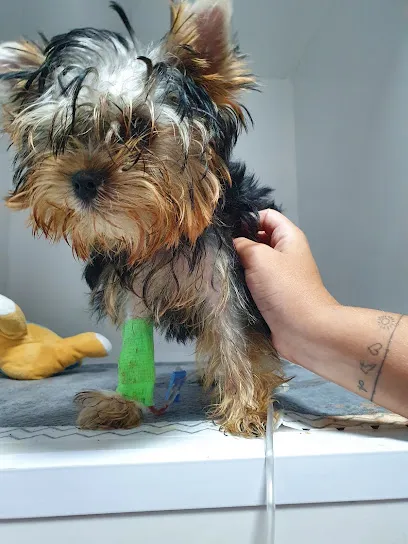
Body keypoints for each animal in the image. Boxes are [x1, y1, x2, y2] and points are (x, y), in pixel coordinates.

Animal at [0, 0, 284, 434]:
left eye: (138, 126)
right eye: (61, 136)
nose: (82, 179)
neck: (160, 237)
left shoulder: (225, 278)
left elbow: (233, 335)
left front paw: (248, 409)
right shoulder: (132, 292)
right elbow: (135, 350)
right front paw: (123, 403)